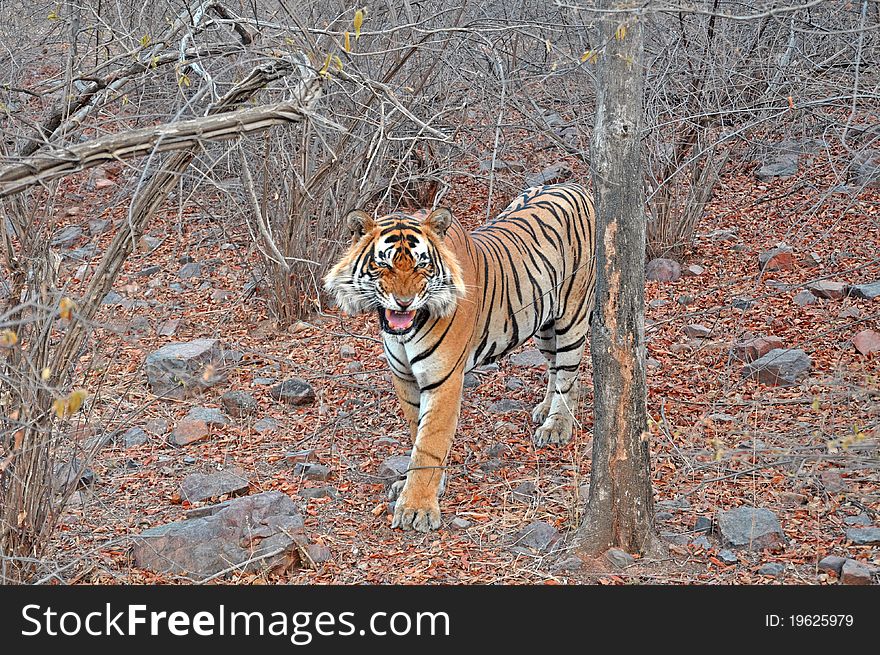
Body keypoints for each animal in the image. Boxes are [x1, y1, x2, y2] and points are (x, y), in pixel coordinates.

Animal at [324, 182, 600, 532]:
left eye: (421, 265)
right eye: (384, 265)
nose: (404, 302)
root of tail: (573, 185)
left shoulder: (443, 379)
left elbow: (430, 442)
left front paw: (416, 508)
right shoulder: (404, 378)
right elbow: (418, 432)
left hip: (572, 314)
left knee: (568, 372)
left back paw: (557, 427)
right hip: (541, 322)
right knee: (555, 367)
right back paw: (544, 410)